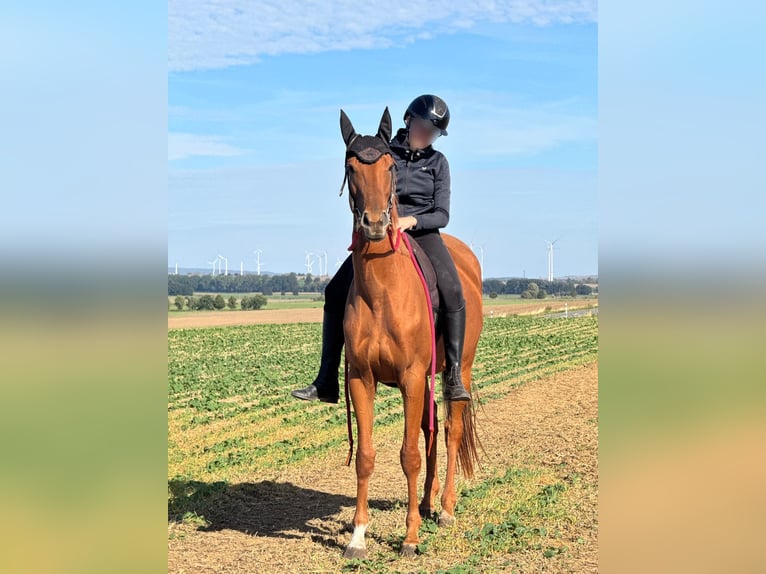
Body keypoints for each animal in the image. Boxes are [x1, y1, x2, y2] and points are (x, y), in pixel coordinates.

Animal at [339, 107, 483, 559]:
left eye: (389, 167)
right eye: (351, 168)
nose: (374, 224)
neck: (383, 290)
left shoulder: (410, 376)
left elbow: (408, 455)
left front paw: (410, 537)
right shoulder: (362, 378)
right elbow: (367, 455)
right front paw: (358, 535)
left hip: (457, 369)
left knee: (450, 429)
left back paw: (445, 508)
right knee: (430, 430)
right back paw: (426, 501)